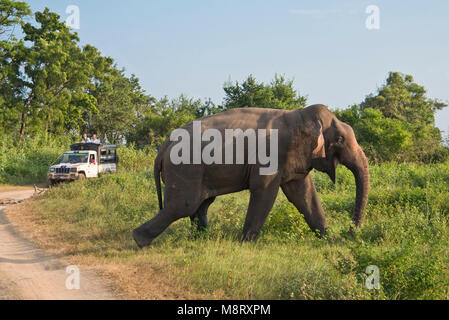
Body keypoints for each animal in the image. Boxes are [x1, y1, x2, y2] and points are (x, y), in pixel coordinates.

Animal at [131, 103, 370, 248]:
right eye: (340, 139)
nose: (349, 233)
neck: (297, 115)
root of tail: (162, 149)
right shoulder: (272, 155)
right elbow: (265, 192)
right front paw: (245, 243)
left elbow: (303, 194)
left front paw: (326, 239)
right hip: (184, 170)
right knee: (182, 206)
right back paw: (139, 241)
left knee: (200, 205)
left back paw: (201, 238)